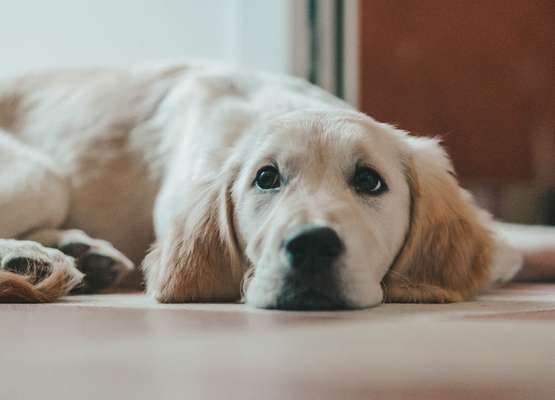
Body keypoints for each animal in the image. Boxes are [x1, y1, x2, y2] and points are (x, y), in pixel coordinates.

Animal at [0, 61, 548, 310]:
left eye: (369, 180)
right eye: (266, 178)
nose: (311, 247)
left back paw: (80, 255)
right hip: (40, 176)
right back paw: (33, 260)